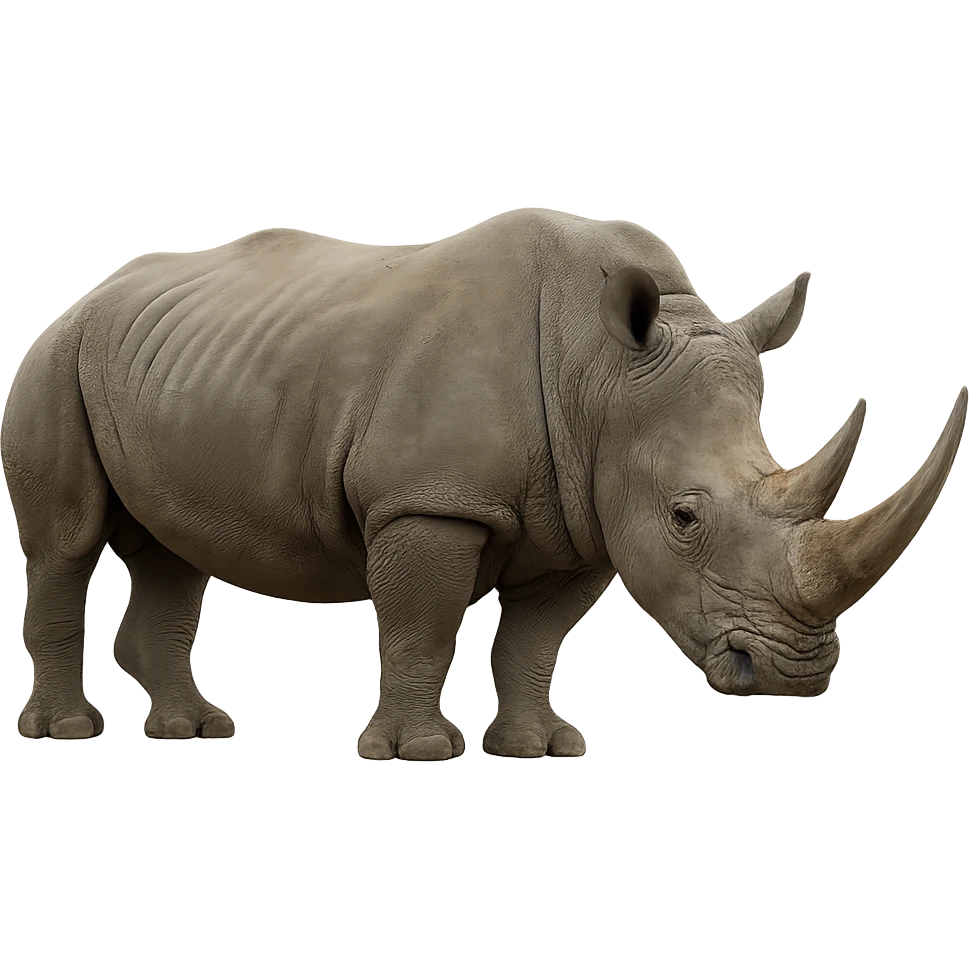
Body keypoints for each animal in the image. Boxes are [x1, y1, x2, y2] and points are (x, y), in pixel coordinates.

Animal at [4, 210, 965, 753]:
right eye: (685, 516)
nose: (793, 676)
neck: (601, 375)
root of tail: (85, 295)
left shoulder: (585, 514)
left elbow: (532, 641)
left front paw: (538, 747)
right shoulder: (429, 500)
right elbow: (422, 626)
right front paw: (415, 752)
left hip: (168, 366)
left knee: (171, 551)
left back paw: (193, 733)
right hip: (54, 356)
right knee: (64, 543)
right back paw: (68, 733)